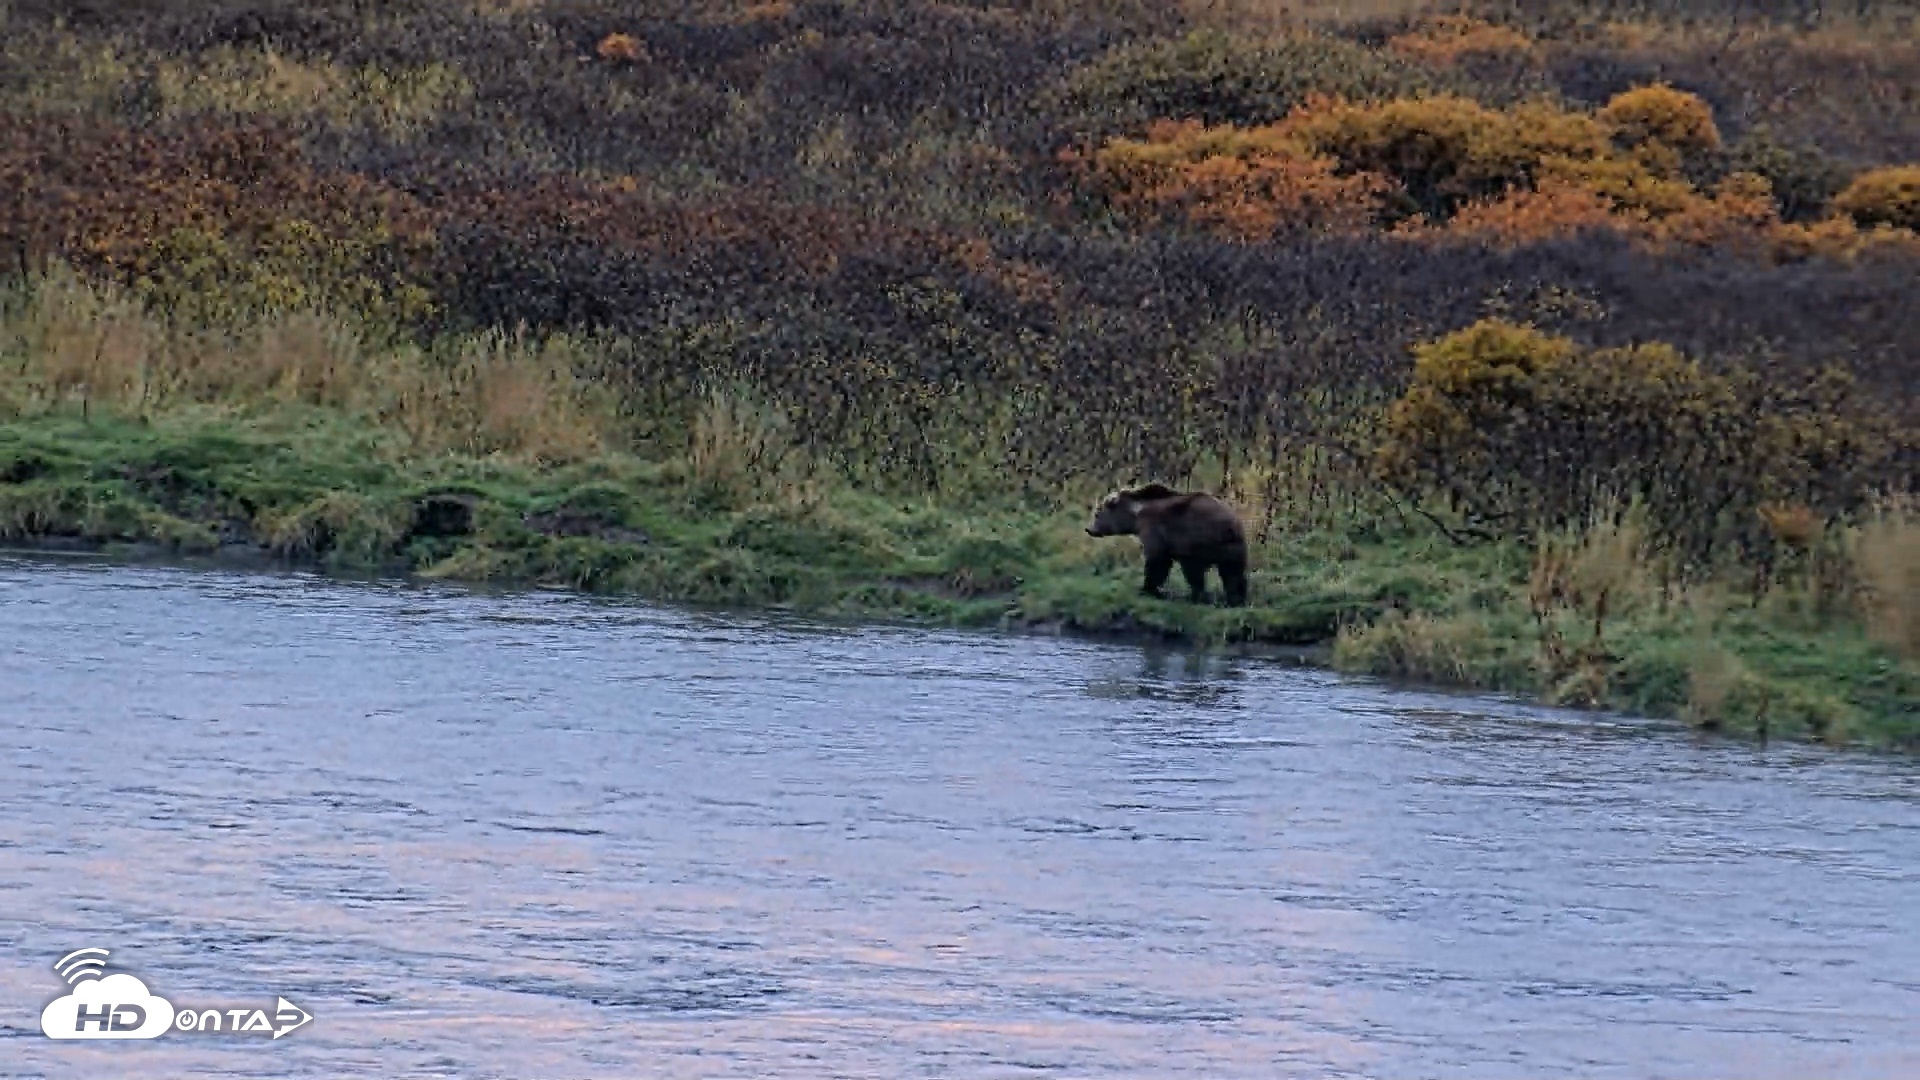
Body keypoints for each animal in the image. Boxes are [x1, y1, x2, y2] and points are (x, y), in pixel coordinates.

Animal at [1085, 483, 1249, 607]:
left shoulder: (1154, 529)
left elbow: (1157, 561)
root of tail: (1230, 526)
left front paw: (1147, 589)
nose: (1089, 529)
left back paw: (1197, 596)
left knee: (1194, 570)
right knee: (1233, 573)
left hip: (1198, 539)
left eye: (1097, 514)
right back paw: (1235, 600)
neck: (1136, 516)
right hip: (1233, 546)